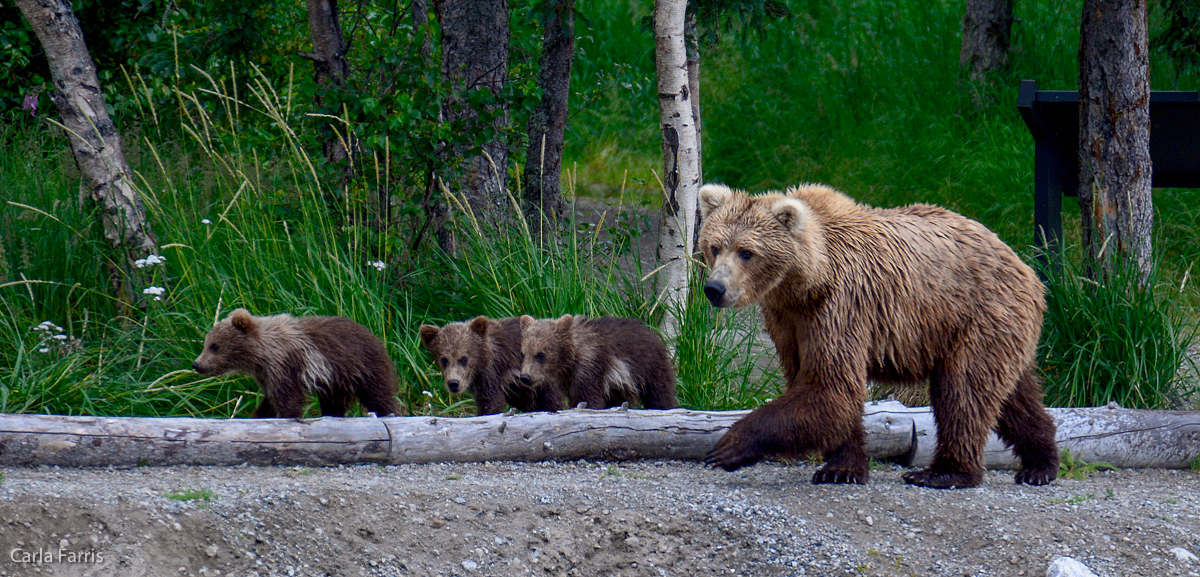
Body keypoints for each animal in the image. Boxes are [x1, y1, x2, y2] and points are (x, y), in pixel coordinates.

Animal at [700, 182, 1056, 487]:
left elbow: (831, 387)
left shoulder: (841, 305)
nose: (715, 288)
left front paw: (730, 445)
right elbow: (819, 386)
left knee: (963, 391)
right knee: (1013, 396)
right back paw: (1041, 463)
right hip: (995, 327)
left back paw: (944, 472)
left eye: (746, 251)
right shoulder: (789, 320)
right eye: (715, 247)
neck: (805, 281)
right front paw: (842, 467)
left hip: (976, 313)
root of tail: (1026, 268)